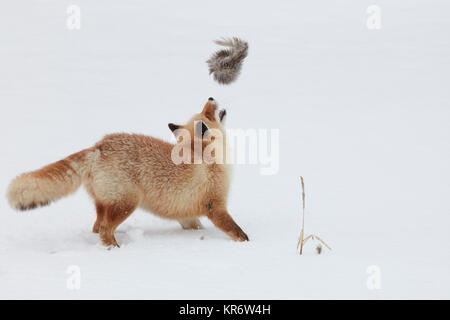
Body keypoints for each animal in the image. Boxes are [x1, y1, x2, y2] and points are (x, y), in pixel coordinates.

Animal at [5, 97, 248, 248]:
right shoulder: (214, 206)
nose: (211, 97)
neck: (207, 157)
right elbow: (237, 231)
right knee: (104, 230)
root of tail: (99, 146)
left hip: (105, 204)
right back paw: (116, 249)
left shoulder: (187, 215)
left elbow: (195, 227)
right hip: (127, 203)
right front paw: (247, 244)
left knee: (96, 228)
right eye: (208, 114)